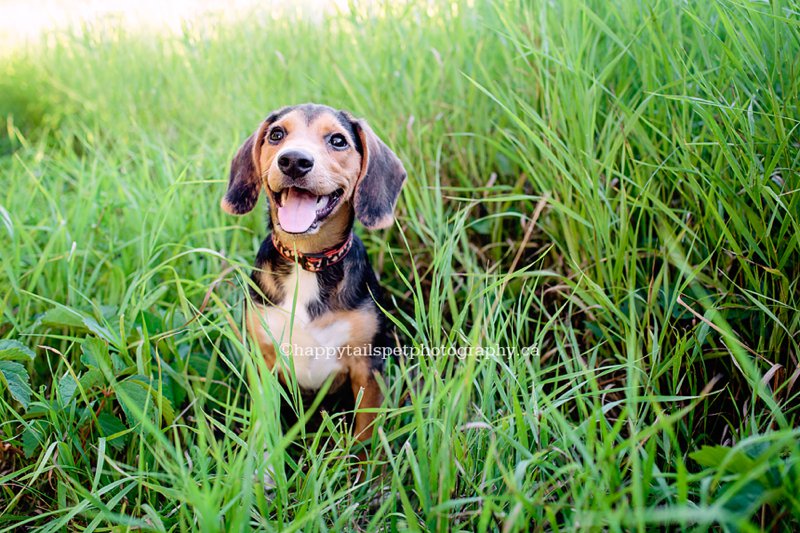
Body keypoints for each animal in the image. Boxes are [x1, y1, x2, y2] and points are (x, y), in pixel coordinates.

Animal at [220, 103, 404, 444]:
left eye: (338, 140)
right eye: (276, 134)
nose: (294, 161)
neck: (306, 261)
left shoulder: (367, 369)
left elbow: (365, 439)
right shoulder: (263, 364)